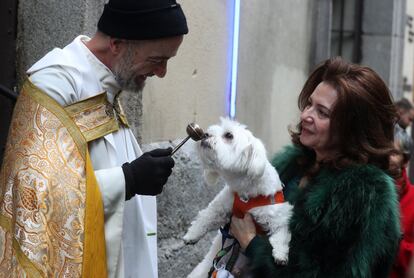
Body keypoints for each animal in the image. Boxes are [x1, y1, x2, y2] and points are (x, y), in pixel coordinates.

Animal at [183, 118, 292, 276]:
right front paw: (191, 235)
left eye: (229, 135)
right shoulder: (223, 206)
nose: (205, 135)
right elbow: (206, 217)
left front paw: (280, 255)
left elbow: (280, 234)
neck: (245, 191)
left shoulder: (276, 216)